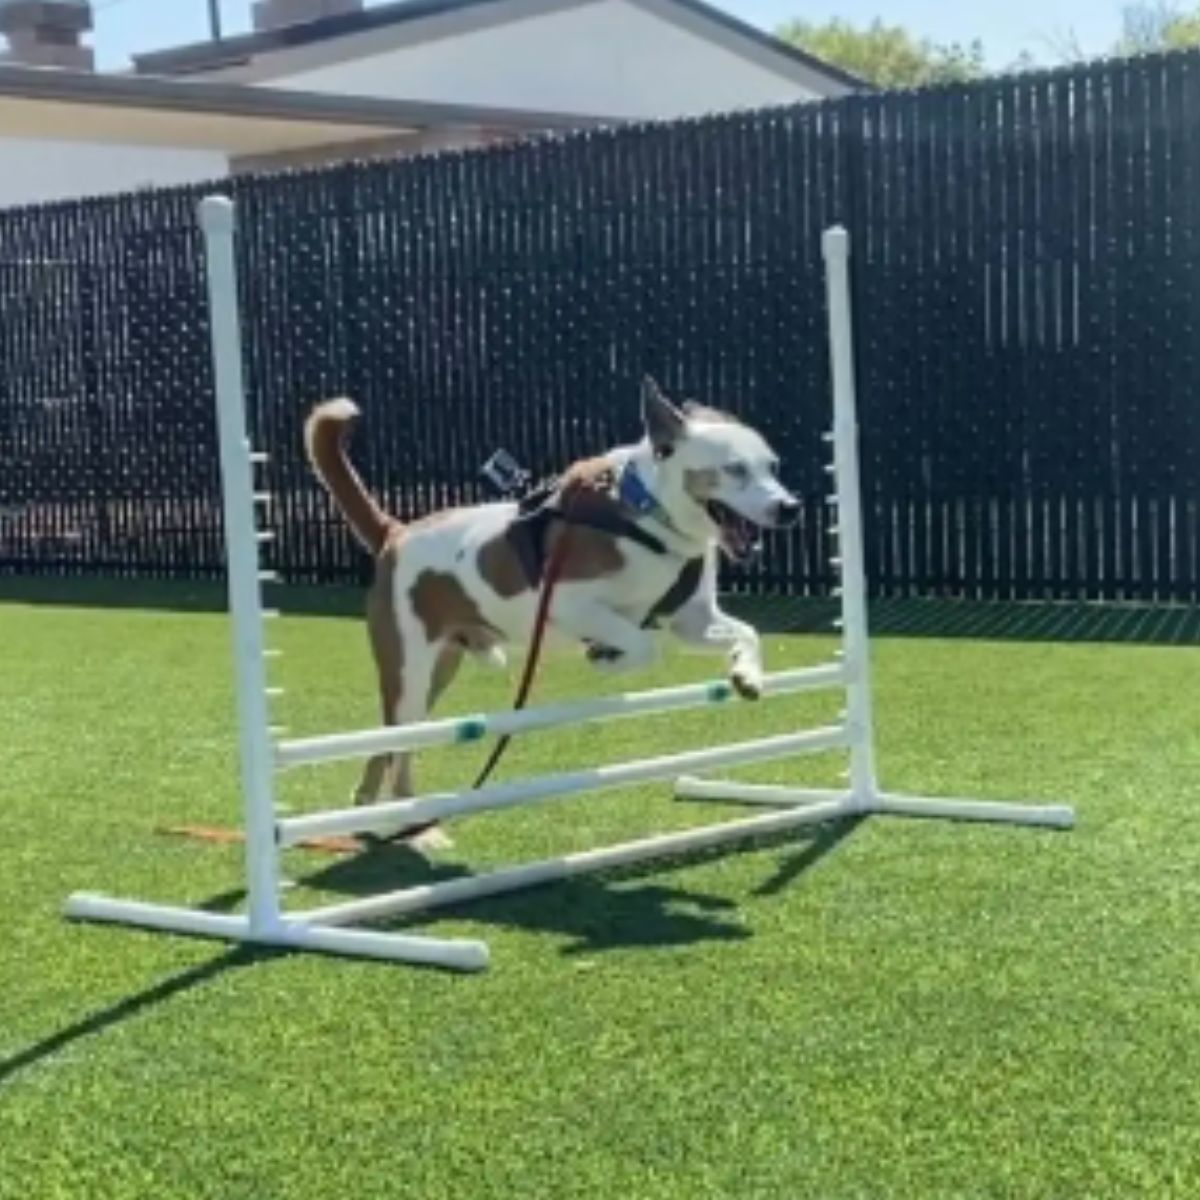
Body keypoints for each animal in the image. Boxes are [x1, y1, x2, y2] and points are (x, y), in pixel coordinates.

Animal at [304, 376, 801, 825]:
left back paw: (391, 811)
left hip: (436, 671)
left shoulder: (691, 618)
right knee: (394, 739)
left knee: (394, 744)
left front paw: (746, 674)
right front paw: (608, 658)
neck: (647, 516)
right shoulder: (570, 604)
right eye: (735, 468)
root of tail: (396, 531)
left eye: (773, 466)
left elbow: (747, 632)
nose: (790, 507)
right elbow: (643, 643)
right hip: (408, 668)